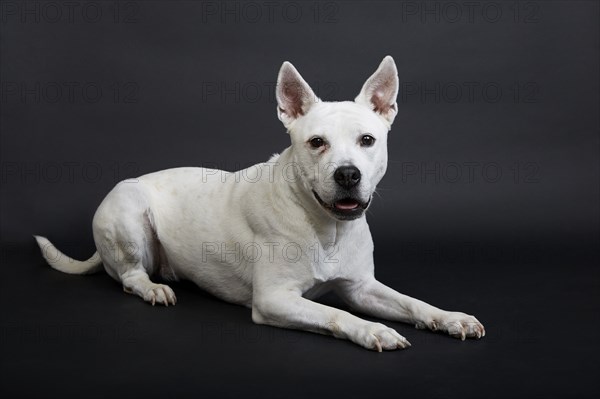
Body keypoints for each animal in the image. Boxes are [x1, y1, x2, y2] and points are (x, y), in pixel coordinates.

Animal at [32, 55, 486, 350]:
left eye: (367, 140)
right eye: (316, 143)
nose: (347, 175)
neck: (325, 228)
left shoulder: (363, 288)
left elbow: (411, 302)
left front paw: (450, 318)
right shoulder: (275, 301)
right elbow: (339, 315)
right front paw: (372, 330)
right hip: (129, 211)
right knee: (129, 276)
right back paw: (152, 288)